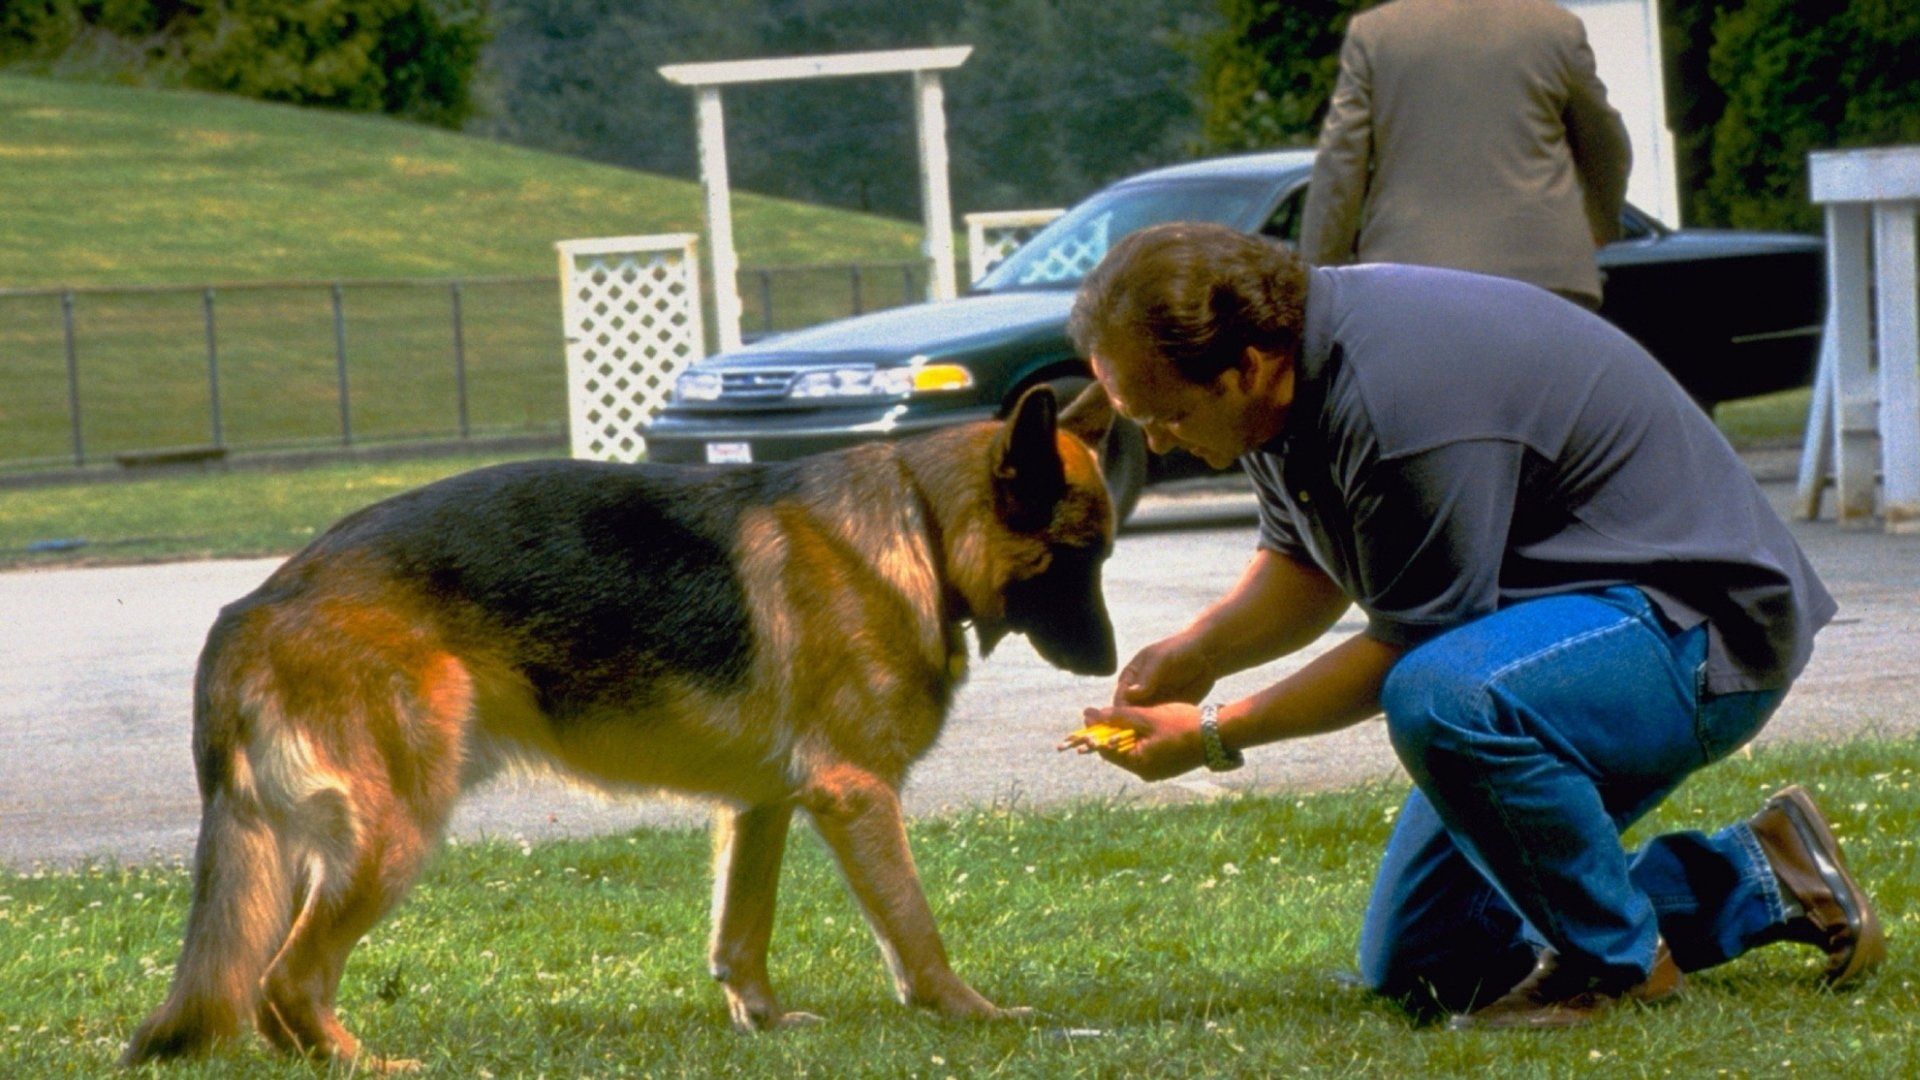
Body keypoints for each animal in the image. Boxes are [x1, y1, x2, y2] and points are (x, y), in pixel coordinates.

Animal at [120, 382, 1121, 1060]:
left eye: (1106, 554)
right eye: (1079, 556)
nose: (1114, 666)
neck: (921, 524)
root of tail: (252, 605)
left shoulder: (763, 804)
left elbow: (741, 931)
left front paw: (762, 1022)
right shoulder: (857, 797)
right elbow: (916, 930)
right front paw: (973, 1016)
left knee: (265, 995)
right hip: (389, 833)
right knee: (284, 984)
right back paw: (372, 1063)